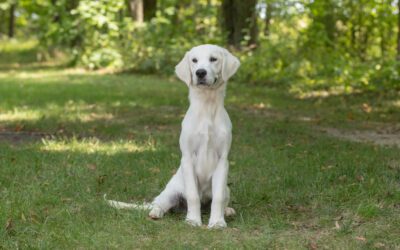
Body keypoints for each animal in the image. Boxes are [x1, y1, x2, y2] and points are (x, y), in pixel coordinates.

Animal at [106, 45, 239, 229]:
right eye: (194, 60)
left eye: (214, 59)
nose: (200, 73)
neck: (206, 108)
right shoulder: (188, 158)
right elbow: (193, 195)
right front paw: (193, 220)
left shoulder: (222, 160)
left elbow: (218, 198)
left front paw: (217, 222)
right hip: (171, 192)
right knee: (159, 204)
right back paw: (155, 213)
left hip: (227, 188)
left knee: (220, 199)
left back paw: (227, 211)